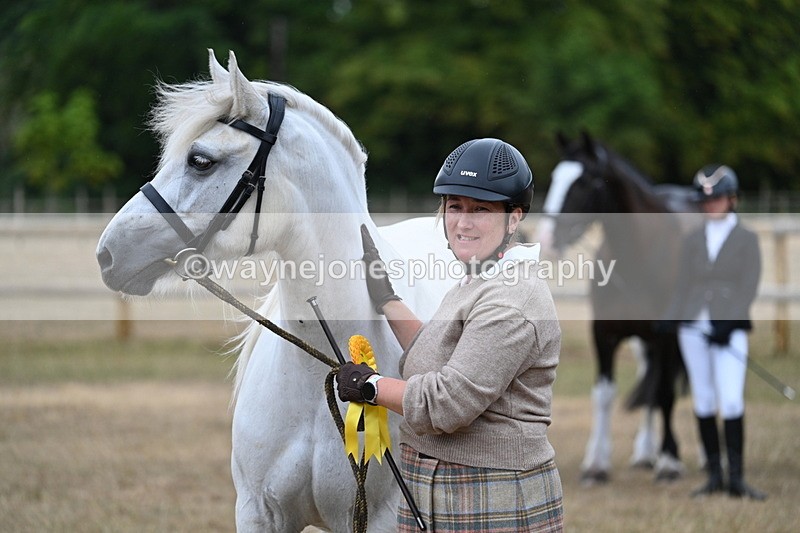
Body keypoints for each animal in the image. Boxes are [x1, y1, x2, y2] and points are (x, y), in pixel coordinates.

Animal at [537, 131, 697, 484]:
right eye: (553, 177)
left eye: (584, 182)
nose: (548, 241)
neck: (638, 256)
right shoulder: (604, 334)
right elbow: (604, 395)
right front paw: (596, 464)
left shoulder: (667, 336)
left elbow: (666, 393)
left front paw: (669, 461)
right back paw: (645, 453)